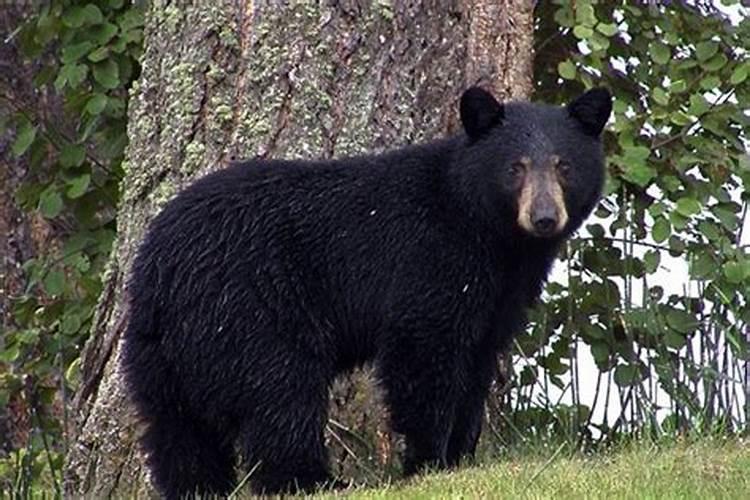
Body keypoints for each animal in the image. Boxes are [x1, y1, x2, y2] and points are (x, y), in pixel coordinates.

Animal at [122, 85, 612, 496]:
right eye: (515, 168)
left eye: (564, 166)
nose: (544, 218)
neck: (490, 233)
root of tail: (159, 269)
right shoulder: (430, 260)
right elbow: (423, 353)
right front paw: (427, 462)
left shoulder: (501, 294)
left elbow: (477, 362)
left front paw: (461, 457)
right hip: (249, 310)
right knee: (280, 393)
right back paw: (315, 480)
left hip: (160, 353)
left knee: (177, 429)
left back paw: (199, 487)